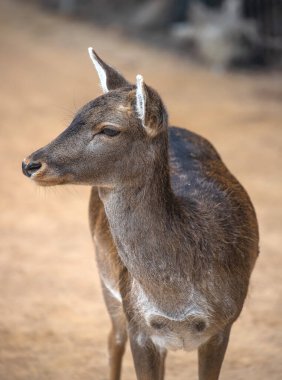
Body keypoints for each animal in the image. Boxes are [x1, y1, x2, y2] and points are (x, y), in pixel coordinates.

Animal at [22, 48, 258, 380]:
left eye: (109, 129)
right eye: (75, 117)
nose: (30, 163)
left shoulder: (224, 324)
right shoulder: (138, 324)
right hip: (106, 280)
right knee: (113, 340)